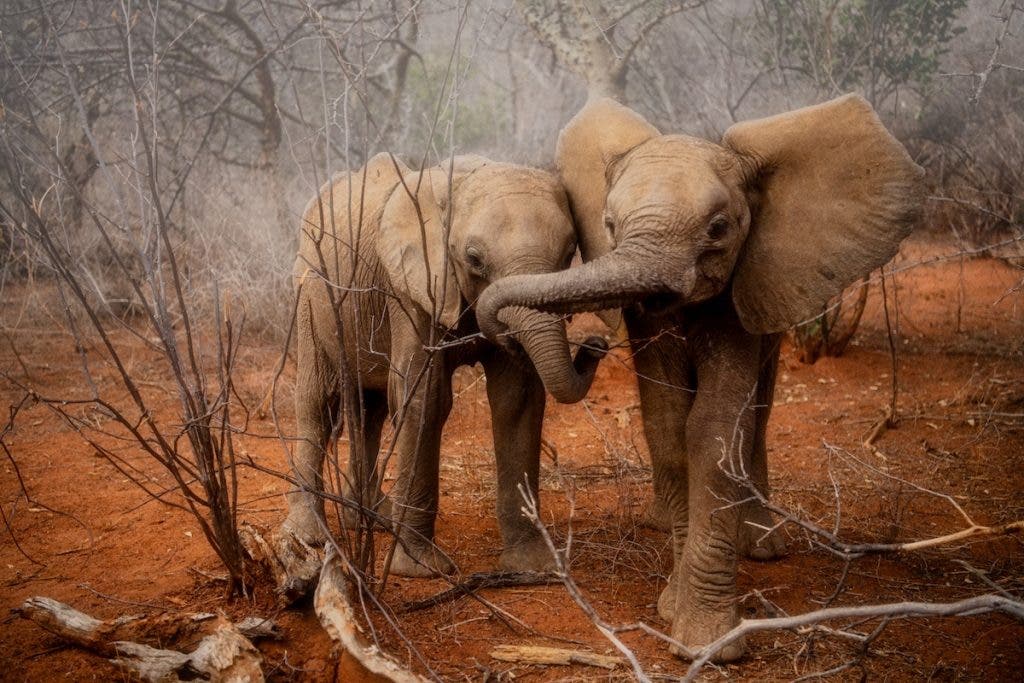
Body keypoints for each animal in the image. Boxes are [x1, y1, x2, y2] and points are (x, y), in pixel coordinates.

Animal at [280, 153, 606, 577]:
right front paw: (422, 568)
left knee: (371, 409)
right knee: (317, 403)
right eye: (474, 259)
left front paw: (534, 566)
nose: (596, 345)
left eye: (569, 254)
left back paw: (373, 519)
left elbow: (516, 400)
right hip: (309, 290)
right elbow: (426, 398)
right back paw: (310, 536)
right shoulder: (413, 288)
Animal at [475, 96, 925, 663]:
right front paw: (673, 606)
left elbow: (712, 429)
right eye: (609, 224)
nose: (591, 345)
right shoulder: (648, 319)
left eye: (718, 228)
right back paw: (661, 522)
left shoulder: (743, 281)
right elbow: (668, 426)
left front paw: (708, 643)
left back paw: (762, 545)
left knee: (759, 410)